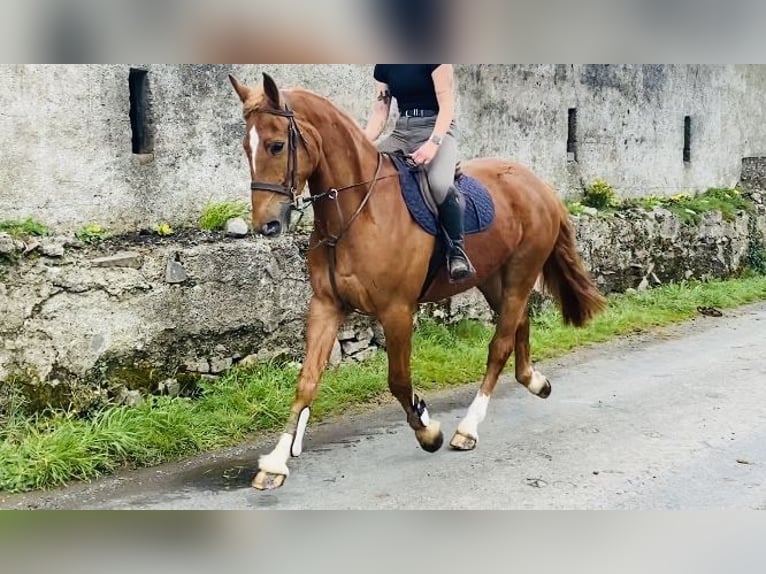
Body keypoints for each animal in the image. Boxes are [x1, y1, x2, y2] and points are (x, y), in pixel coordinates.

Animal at [228, 74, 608, 492]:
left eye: (277, 145)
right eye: (246, 147)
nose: (267, 225)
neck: (358, 212)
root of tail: (538, 184)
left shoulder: (396, 311)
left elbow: (397, 380)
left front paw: (428, 430)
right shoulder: (326, 305)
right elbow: (307, 381)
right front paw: (276, 463)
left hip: (521, 272)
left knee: (500, 344)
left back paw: (468, 428)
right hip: (494, 277)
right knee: (519, 324)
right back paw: (534, 381)